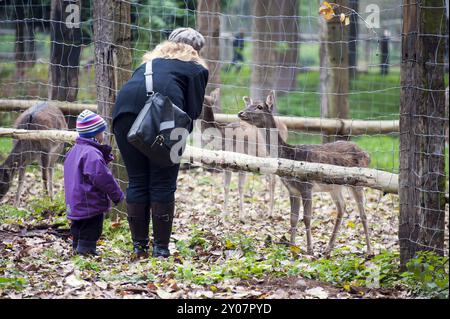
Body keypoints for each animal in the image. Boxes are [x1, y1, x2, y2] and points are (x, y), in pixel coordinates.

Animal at [200, 89, 288, 221]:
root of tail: (285, 125)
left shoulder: (243, 163)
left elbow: (240, 187)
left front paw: (242, 216)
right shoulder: (226, 166)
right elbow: (226, 187)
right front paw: (223, 215)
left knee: (273, 180)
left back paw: (271, 213)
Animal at [239, 91, 372, 256]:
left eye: (259, 106)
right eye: (247, 104)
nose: (241, 113)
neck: (291, 155)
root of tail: (367, 155)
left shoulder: (306, 186)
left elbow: (307, 218)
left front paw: (310, 250)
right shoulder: (292, 189)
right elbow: (293, 218)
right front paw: (292, 247)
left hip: (358, 182)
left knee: (363, 213)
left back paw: (369, 250)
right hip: (334, 187)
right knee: (342, 208)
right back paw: (328, 248)